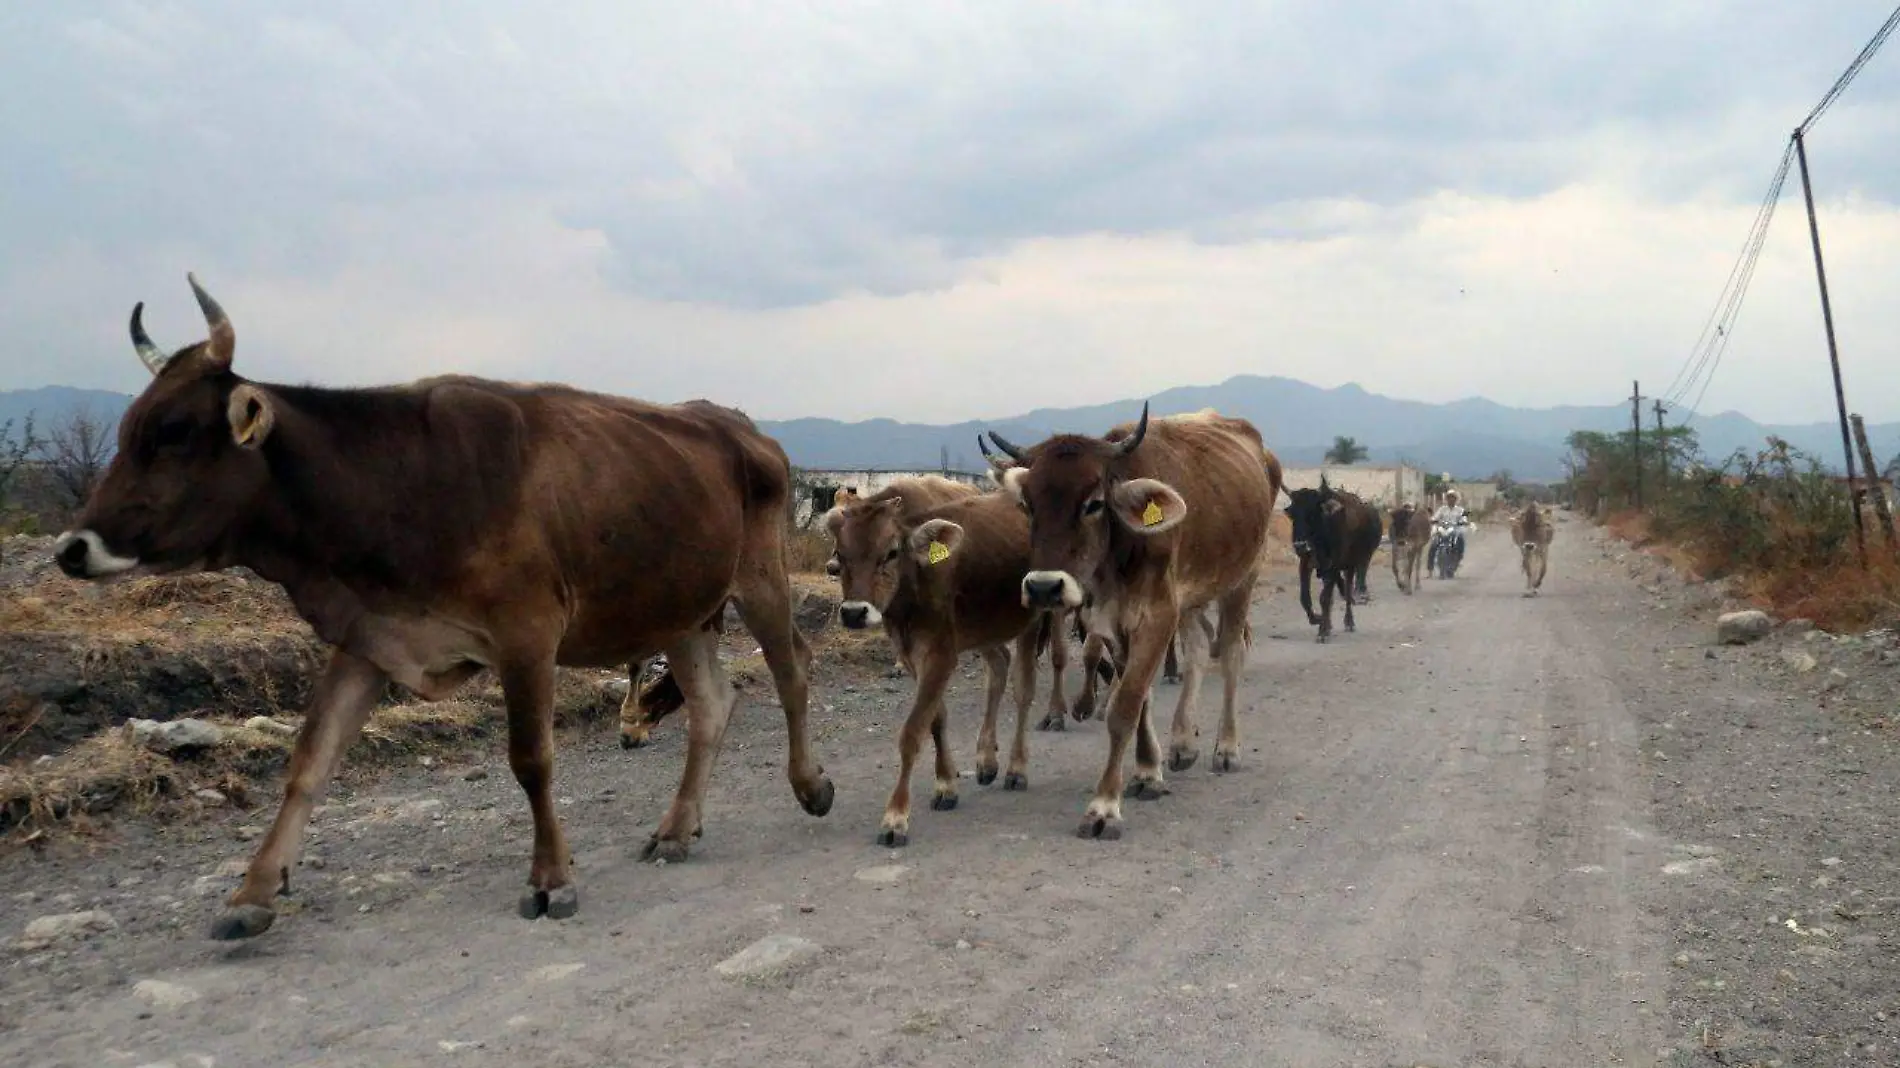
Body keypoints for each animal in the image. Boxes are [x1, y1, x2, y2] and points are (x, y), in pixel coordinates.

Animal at [52, 275, 836, 938]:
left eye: (175, 435)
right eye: (128, 432)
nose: (72, 547)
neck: (398, 481)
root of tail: (740, 427)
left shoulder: (527, 634)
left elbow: (531, 758)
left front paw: (550, 879)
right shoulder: (369, 637)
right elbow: (310, 761)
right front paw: (253, 892)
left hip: (759, 580)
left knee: (793, 671)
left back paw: (809, 786)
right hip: (680, 608)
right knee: (712, 703)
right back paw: (676, 828)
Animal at [980, 402, 1276, 836]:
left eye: (1093, 503)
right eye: (1028, 505)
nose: (1044, 588)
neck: (1117, 557)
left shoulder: (1158, 615)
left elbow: (1125, 706)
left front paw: (1104, 806)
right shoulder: (1112, 621)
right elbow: (1141, 700)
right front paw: (1147, 771)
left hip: (1241, 579)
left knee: (1231, 656)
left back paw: (1226, 747)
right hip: (1191, 598)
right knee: (1197, 647)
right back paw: (1183, 743)